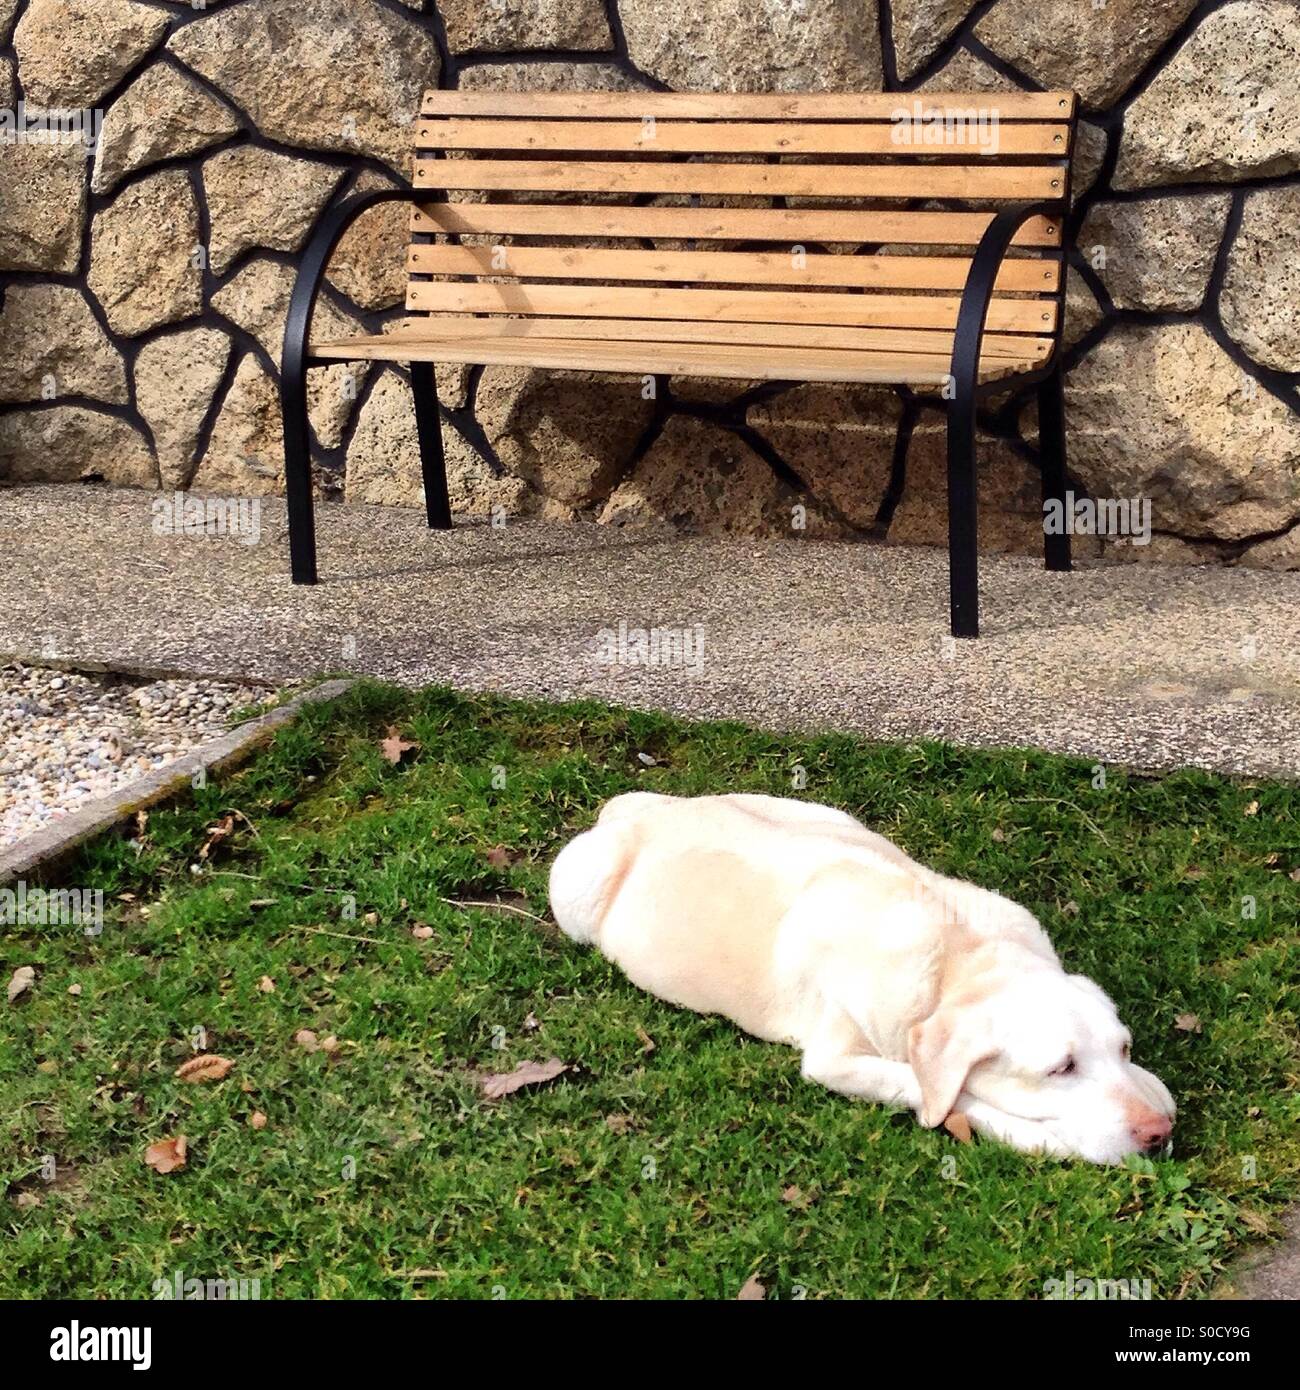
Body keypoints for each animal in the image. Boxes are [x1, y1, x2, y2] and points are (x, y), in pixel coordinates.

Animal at [547, 795, 1179, 1162]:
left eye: (1124, 1049)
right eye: (1060, 1068)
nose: (1158, 1133)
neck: (958, 960)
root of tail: (628, 808)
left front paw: (1155, 1089)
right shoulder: (835, 1062)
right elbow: (935, 1090)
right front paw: (1038, 1135)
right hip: (578, 889)